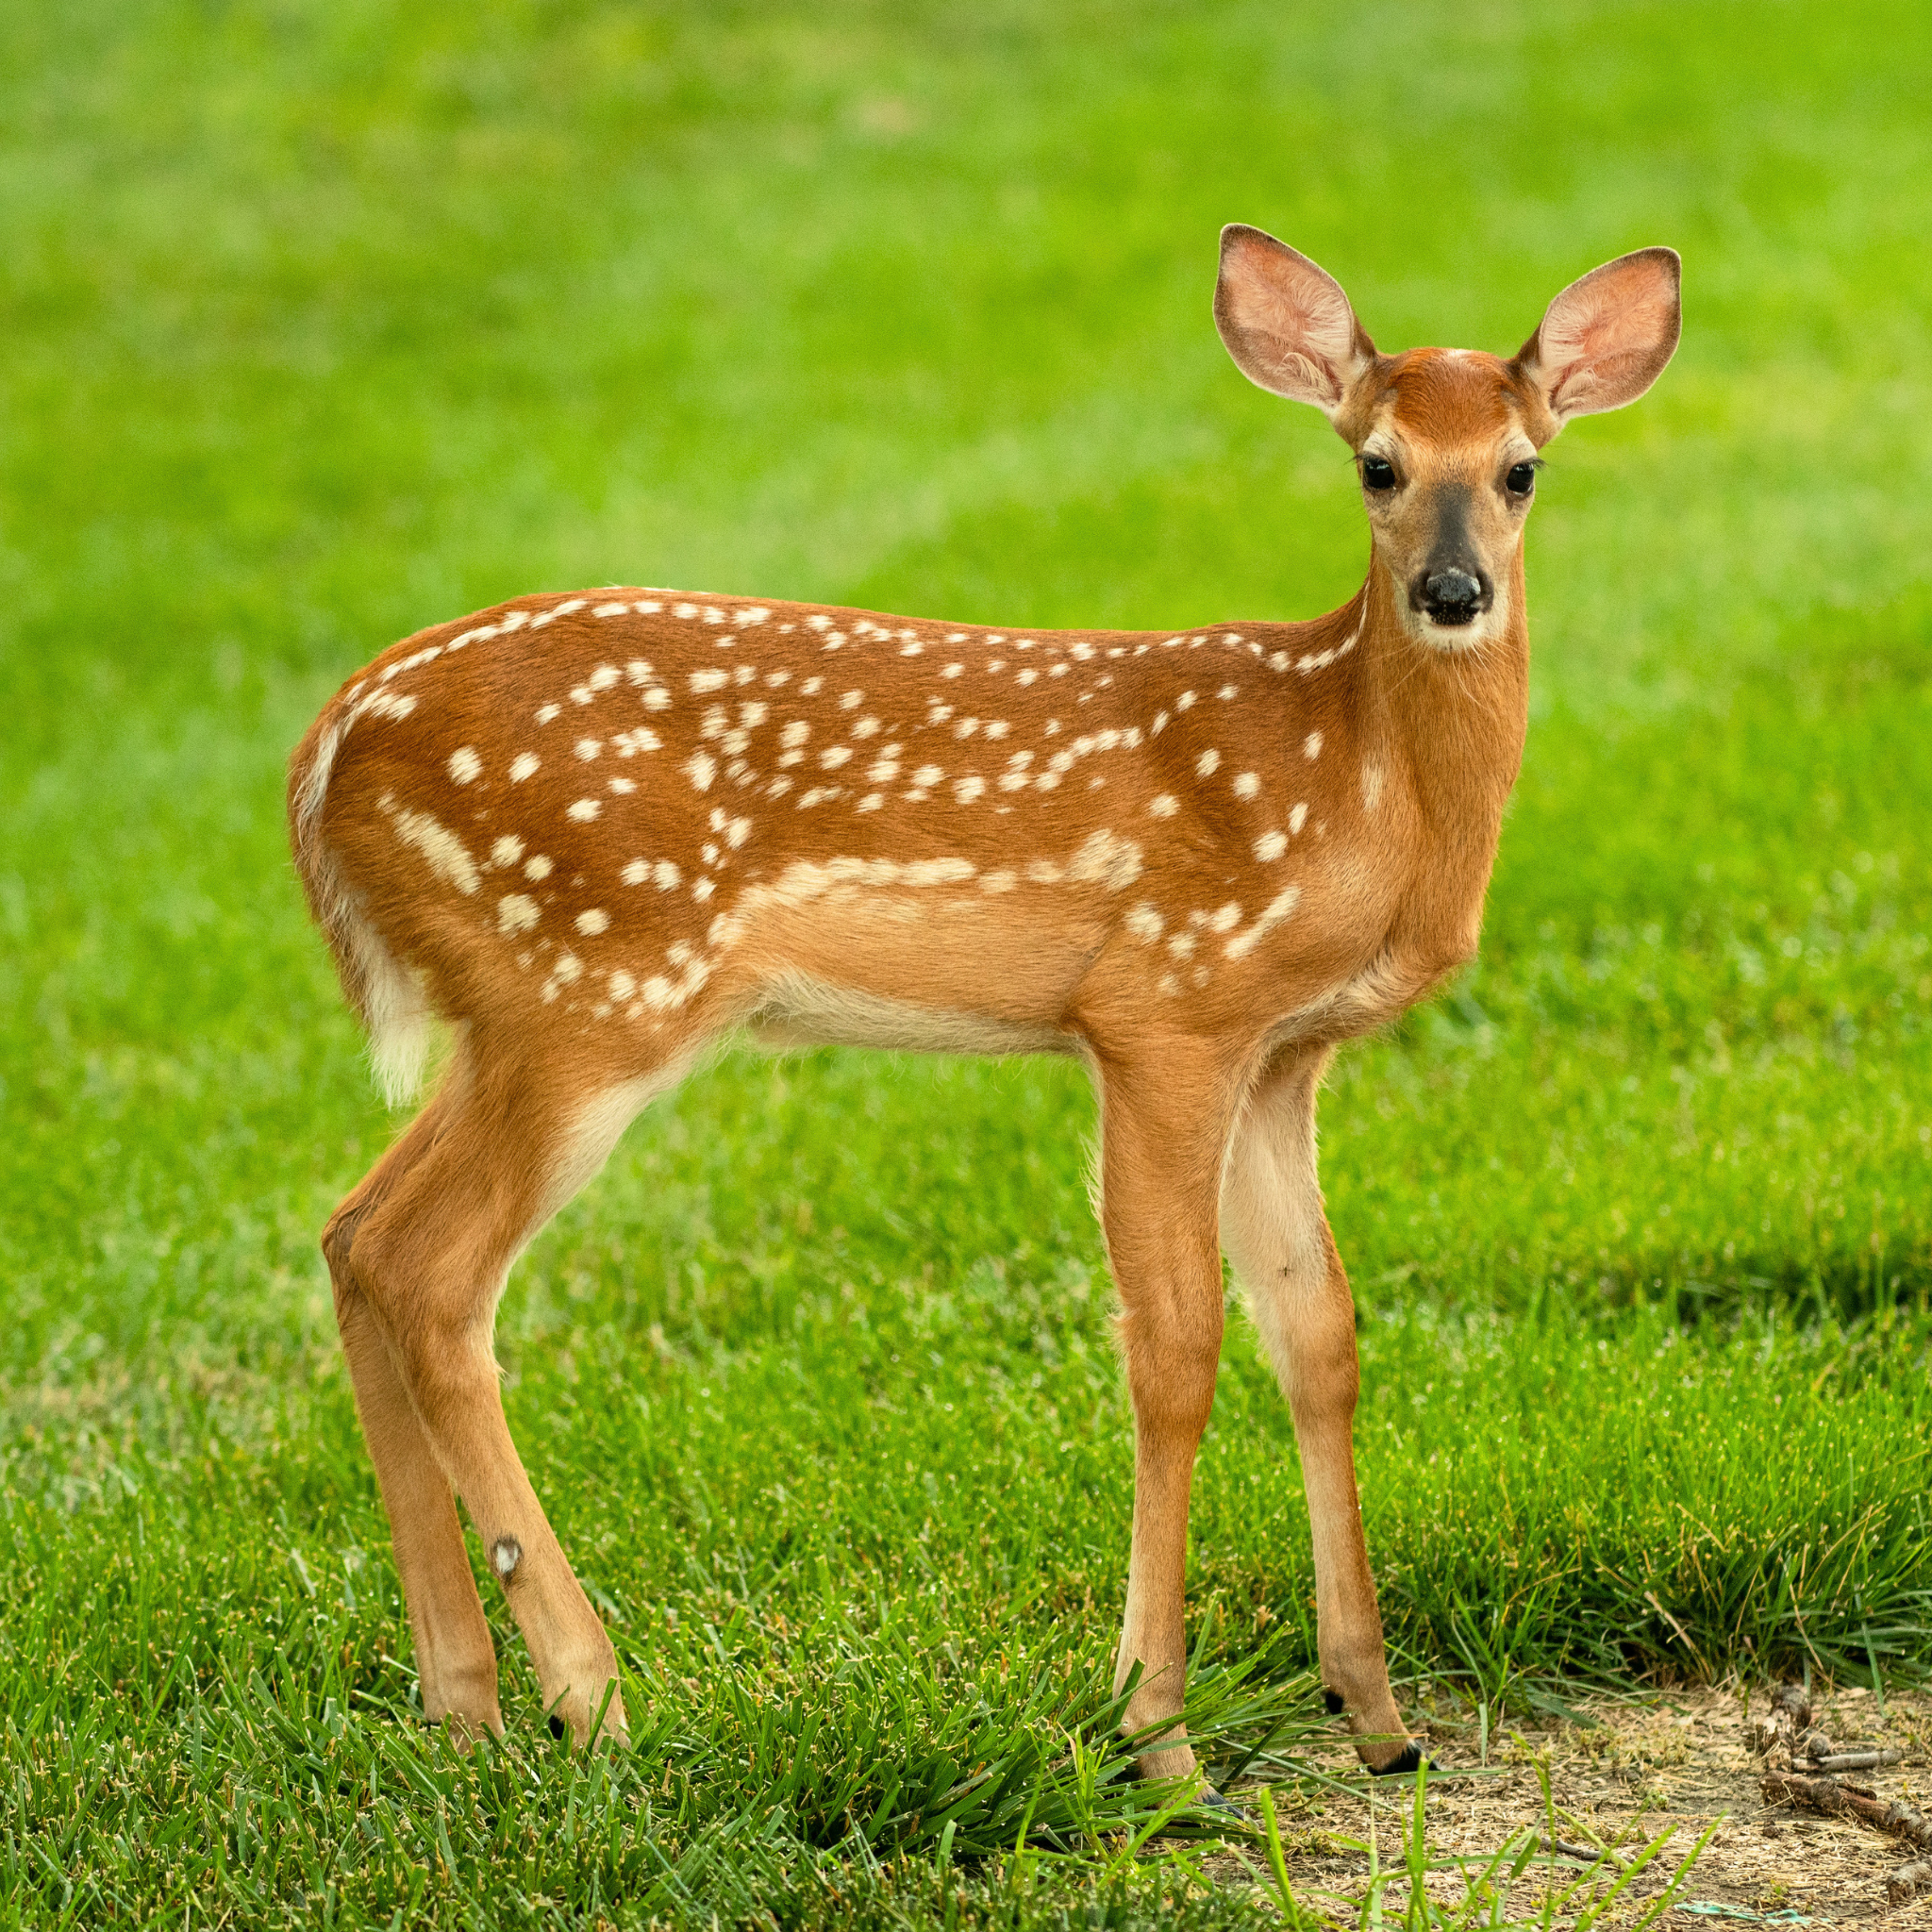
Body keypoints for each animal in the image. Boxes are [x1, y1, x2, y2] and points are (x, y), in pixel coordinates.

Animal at [288, 225, 1680, 1786]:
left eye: (1522, 469)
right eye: (1376, 464)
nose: (1453, 592)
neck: (1355, 782)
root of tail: (321, 758)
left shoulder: (1283, 1052)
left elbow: (1317, 1335)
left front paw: (1374, 1716)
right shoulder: (1162, 1006)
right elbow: (1176, 1347)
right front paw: (1156, 1733)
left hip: (513, 1017)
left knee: (356, 1234)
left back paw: (461, 1702)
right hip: (591, 987)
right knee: (431, 1271)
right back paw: (589, 1698)